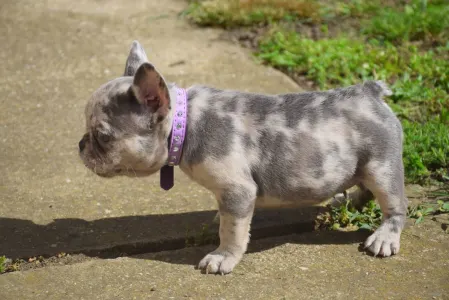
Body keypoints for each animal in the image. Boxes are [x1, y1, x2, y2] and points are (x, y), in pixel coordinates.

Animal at [79, 41, 408, 276]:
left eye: (104, 136)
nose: (80, 144)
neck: (186, 123)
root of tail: (370, 93)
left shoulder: (237, 191)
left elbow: (233, 231)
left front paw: (222, 257)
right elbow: (227, 219)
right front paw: (217, 219)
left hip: (382, 168)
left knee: (394, 207)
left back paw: (384, 238)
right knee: (363, 188)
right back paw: (345, 200)